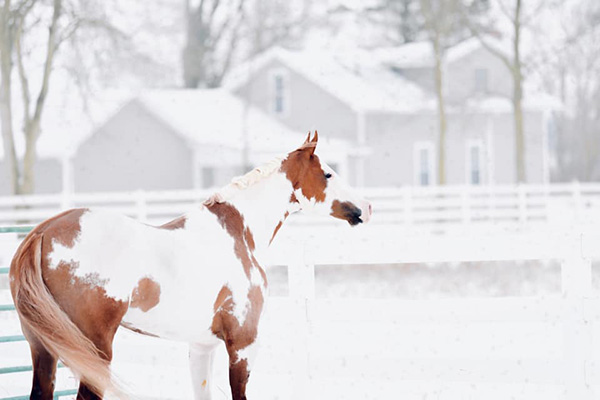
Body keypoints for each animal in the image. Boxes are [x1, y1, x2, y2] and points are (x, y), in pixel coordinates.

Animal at [10, 132, 370, 400]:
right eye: (328, 173)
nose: (365, 207)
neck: (239, 231)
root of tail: (41, 233)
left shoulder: (202, 345)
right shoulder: (243, 344)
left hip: (43, 348)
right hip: (92, 350)